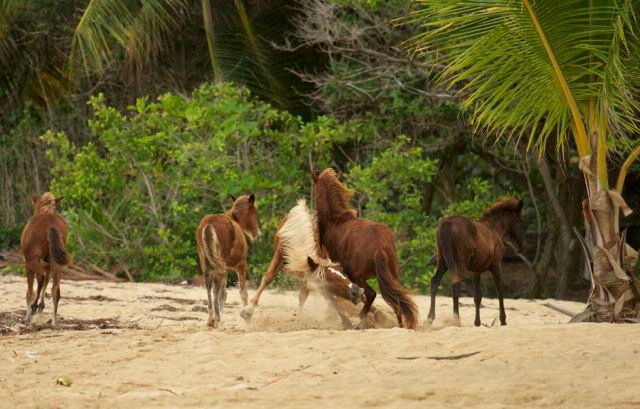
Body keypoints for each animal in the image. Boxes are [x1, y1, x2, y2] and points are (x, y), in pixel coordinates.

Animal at [20, 191, 70, 326]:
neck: (45, 211)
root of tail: (50, 223)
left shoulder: (28, 264)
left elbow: (31, 289)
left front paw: (31, 311)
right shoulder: (48, 264)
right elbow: (47, 281)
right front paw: (40, 307)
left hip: (32, 261)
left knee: (40, 279)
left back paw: (31, 311)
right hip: (56, 264)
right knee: (55, 290)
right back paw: (54, 321)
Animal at [195, 194, 260, 328]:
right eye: (255, 213)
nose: (258, 234)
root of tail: (209, 224)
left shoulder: (227, 267)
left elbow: (223, 293)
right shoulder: (240, 265)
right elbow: (242, 292)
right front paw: (247, 319)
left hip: (206, 261)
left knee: (208, 284)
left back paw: (211, 319)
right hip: (220, 264)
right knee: (216, 285)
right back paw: (216, 319)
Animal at [239, 198, 362, 328]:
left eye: (343, 271)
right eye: (329, 279)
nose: (358, 291)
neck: (300, 240)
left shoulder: (309, 271)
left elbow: (308, 295)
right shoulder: (281, 255)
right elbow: (268, 277)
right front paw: (248, 311)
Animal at [312, 168, 420, 328]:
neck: (336, 221)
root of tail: (379, 245)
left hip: (357, 275)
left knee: (371, 294)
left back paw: (363, 318)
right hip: (393, 275)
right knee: (397, 301)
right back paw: (398, 326)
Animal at [430, 196, 524, 326]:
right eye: (521, 220)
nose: (520, 248)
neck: (494, 229)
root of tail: (446, 223)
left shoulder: (477, 270)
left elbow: (477, 296)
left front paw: (477, 323)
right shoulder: (496, 265)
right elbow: (500, 290)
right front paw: (503, 320)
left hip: (442, 262)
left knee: (434, 281)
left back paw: (430, 318)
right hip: (459, 264)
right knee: (456, 284)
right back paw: (456, 320)